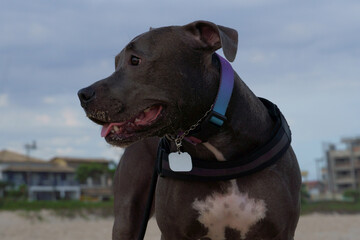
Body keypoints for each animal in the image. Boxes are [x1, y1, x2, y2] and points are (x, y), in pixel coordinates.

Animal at [78, 20, 300, 240]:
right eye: (116, 62)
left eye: (135, 60)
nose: (82, 94)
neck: (217, 147)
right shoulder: (173, 232)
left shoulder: (280, 231)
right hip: (127, 217)